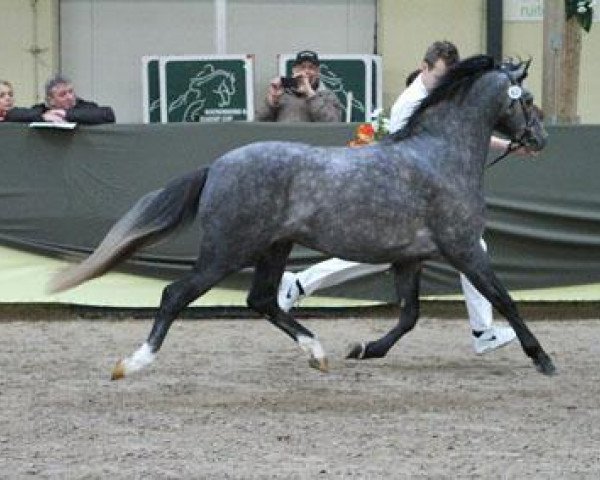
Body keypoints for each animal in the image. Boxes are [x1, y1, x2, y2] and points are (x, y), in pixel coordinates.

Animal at [49, 55, 556, 378]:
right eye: (527, 98)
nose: (541, 139)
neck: (439, 155)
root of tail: (217, 166)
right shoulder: (464, 247)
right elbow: (505, 299)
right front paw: (542, 359)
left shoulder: (410, 258)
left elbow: (410, 316)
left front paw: (364, 349)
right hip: (227, 251)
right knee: (176, 294)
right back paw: (132, 364)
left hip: (274, 247)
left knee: (262, 300)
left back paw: (318, 352)